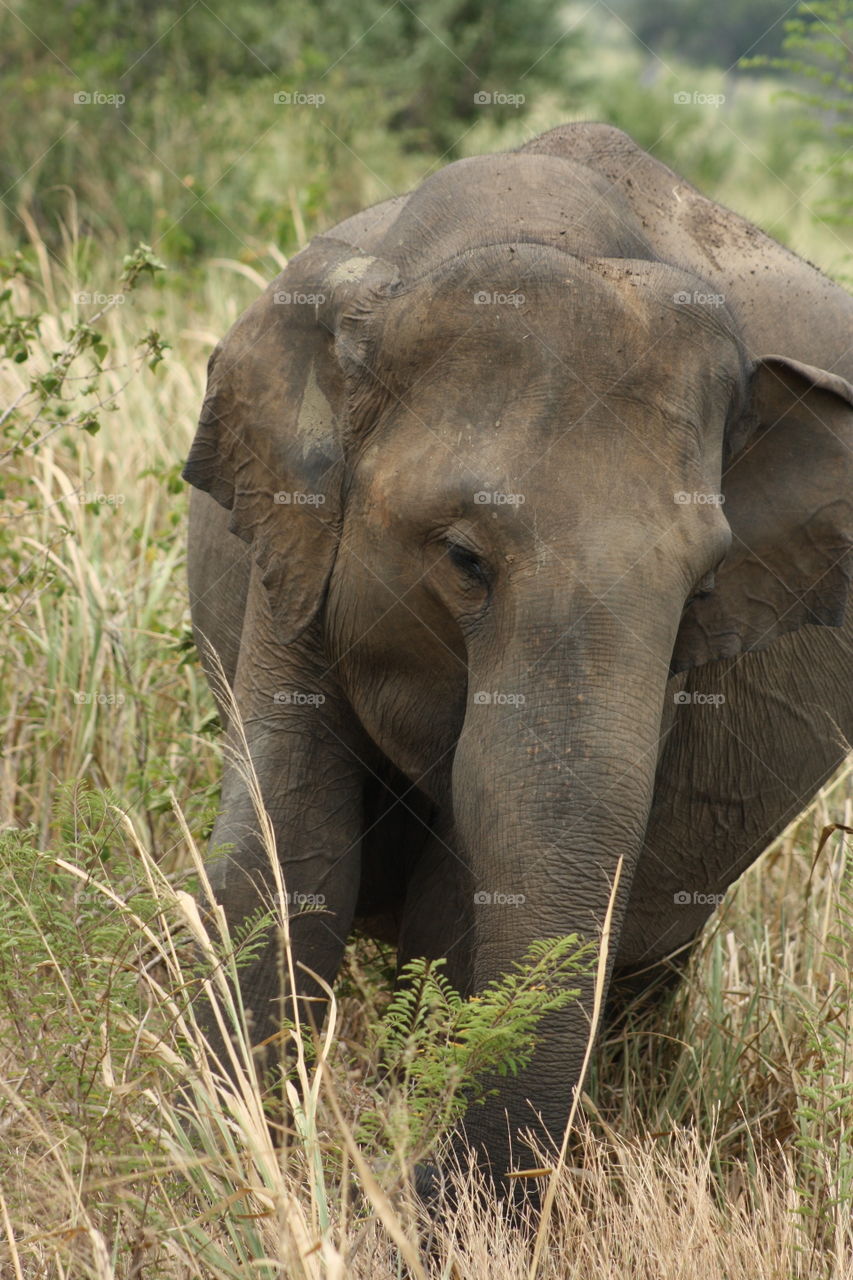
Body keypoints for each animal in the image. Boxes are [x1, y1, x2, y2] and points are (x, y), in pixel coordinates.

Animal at [184, 122, 850, 1187]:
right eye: (463, 559)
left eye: (703, 589)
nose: (410, 1176)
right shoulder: (289, 549)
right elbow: (292, 846)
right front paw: (220, 1164)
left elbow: (465, 891)